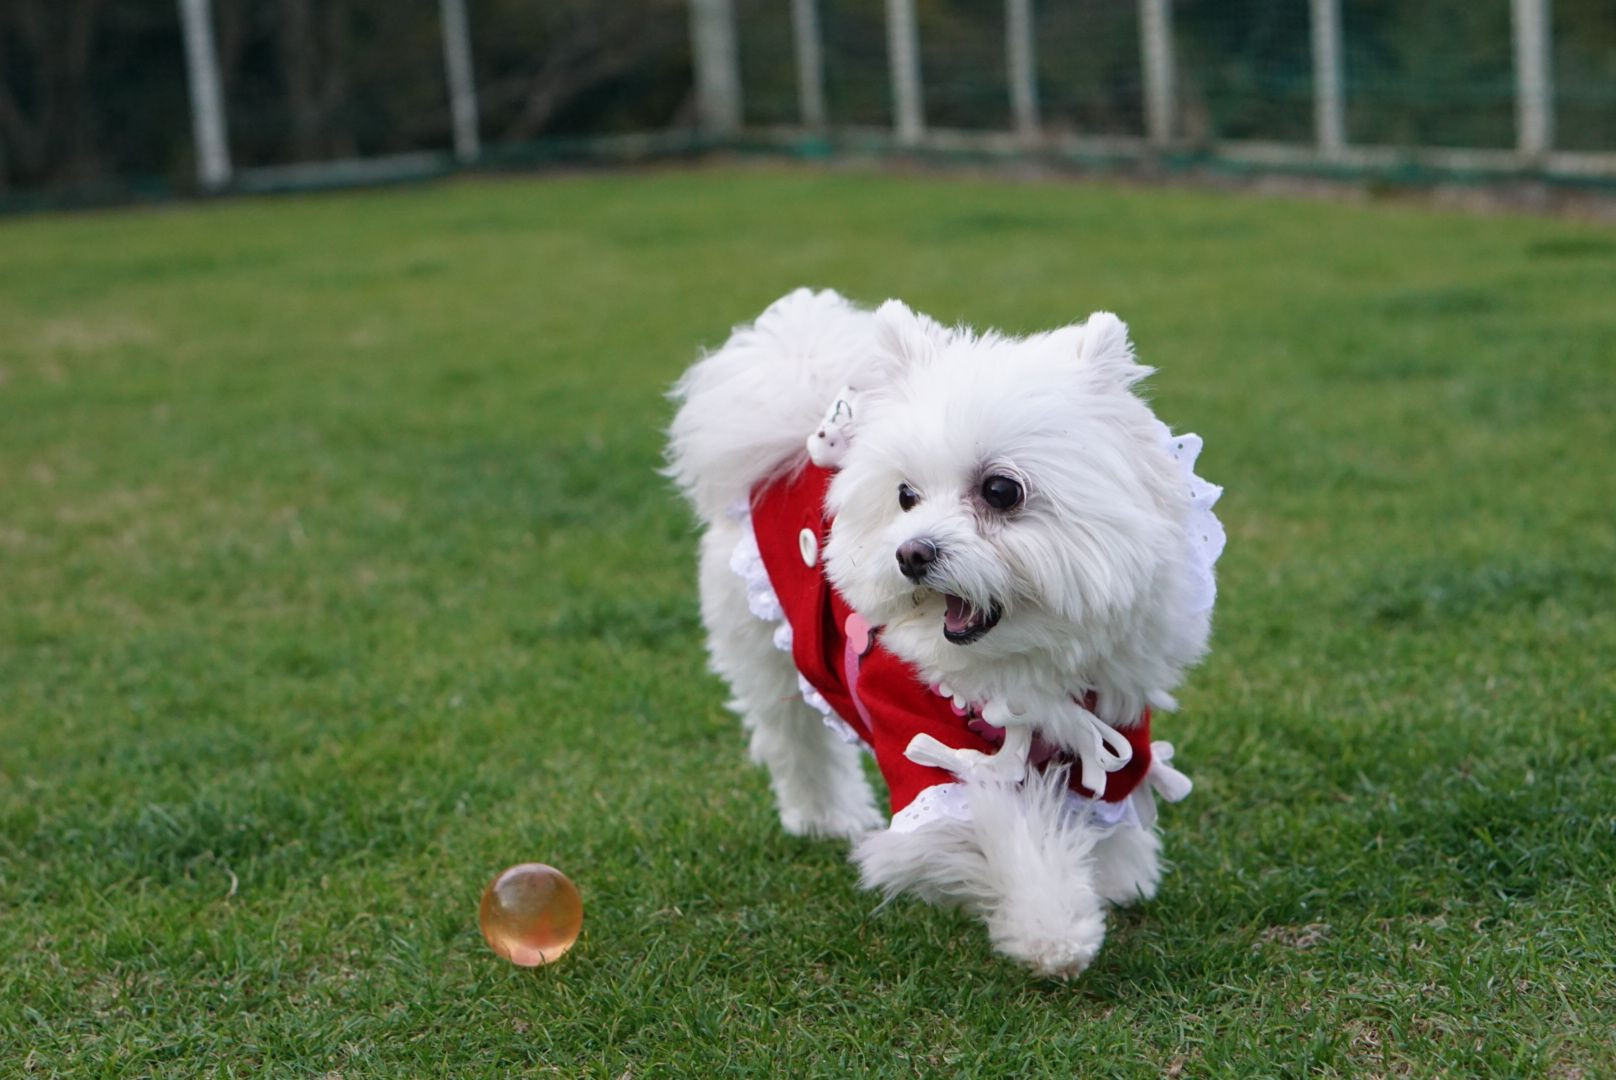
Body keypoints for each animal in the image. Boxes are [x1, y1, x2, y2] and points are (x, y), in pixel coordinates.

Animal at [666, 289, 1222, 976]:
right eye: (905, 495)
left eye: (1001, 490)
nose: (910, 553)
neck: (1023, 667)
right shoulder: (922, 745)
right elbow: (998, 830)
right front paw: (1053, 927)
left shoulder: (1113, 720)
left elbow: (1111, 796)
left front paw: (1118, 874)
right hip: (761, 644)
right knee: (795, 739)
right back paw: (826, 818)